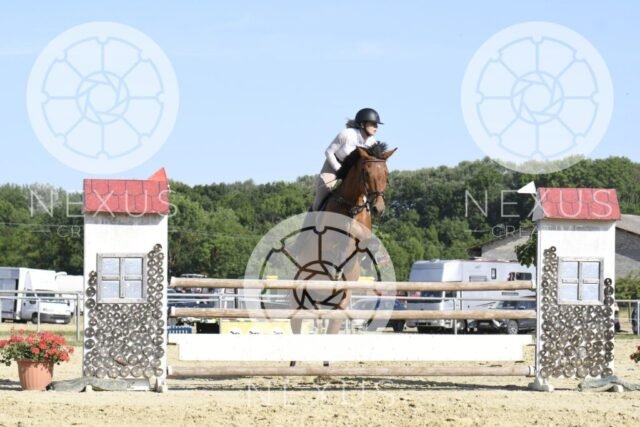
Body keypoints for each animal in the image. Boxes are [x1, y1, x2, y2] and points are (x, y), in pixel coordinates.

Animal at [288, 142, 396, 366]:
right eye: (366, 172)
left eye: (386, 173)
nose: (378, 208)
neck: (351, 206)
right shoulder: (328, 239)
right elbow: (337, 246)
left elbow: (363, 245)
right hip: (298, 295)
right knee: (297, 325)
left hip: (339, 303)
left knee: (331, 326)